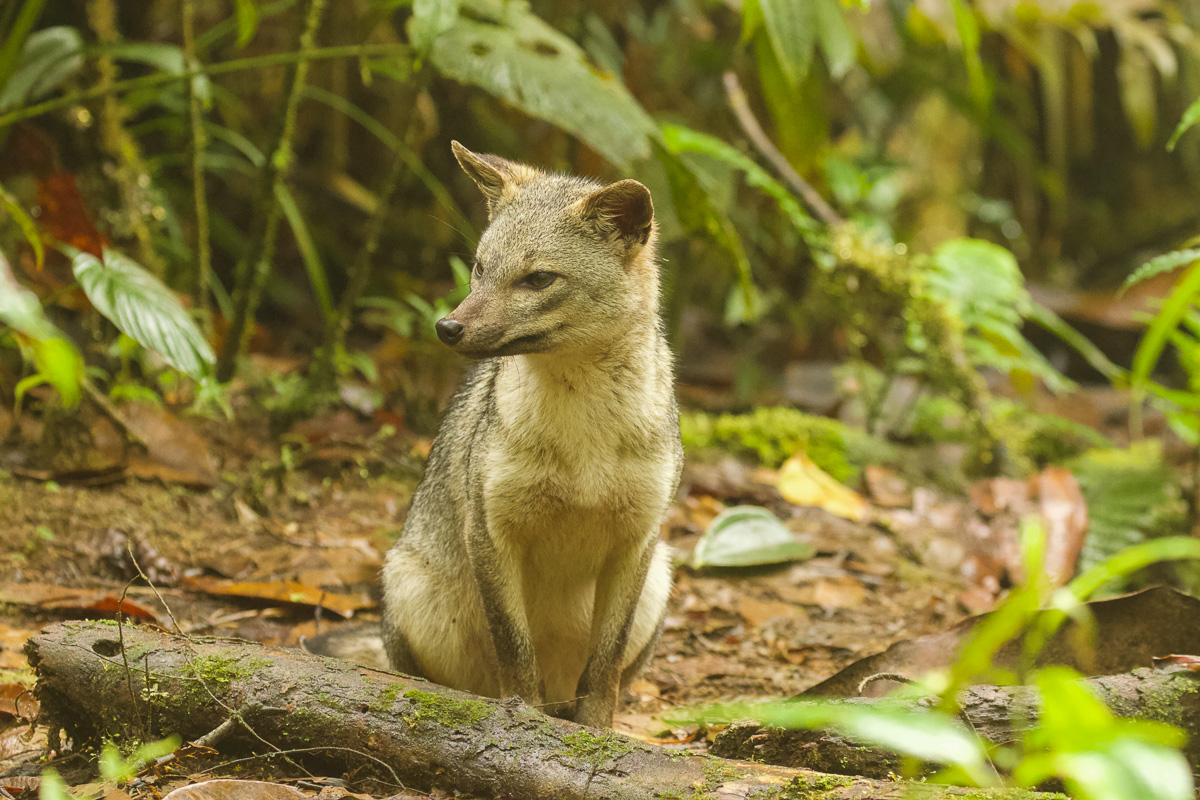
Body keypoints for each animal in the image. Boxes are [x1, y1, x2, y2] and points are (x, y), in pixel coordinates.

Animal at [313, 142, 682, 729]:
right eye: (480, 268)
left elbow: (604, 666)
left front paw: (597, 731)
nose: (447, 327)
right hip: (410, 588)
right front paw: (523, 717)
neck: (583, 440)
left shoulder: (638, 539)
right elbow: (514, 647)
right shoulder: (491, 532)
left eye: (538, 279)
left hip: (659, 581)